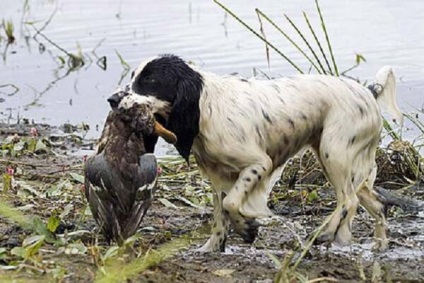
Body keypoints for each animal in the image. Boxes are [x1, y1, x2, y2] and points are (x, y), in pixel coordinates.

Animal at [107, 55, 402, 253]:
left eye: (150, 81)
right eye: (133, 78)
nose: (112, 99)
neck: (204, 105)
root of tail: (368, 91)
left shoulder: (258, 164)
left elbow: (231, 203)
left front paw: (247, 228)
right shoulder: (218, 175)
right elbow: (220, 214)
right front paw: (212, 247)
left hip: (334, 152)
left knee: (348, 201)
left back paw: (324, 234)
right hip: (341, 160)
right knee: (377, 204)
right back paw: (379, 246)